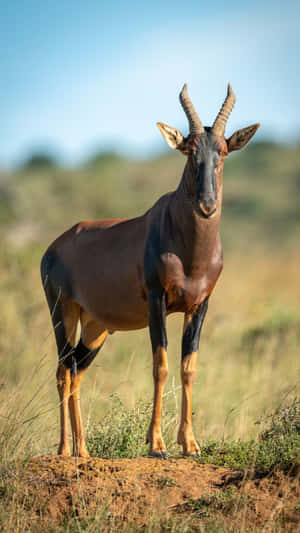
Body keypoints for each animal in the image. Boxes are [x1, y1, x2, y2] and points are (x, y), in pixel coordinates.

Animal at [41, 84, 258, 458]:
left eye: (223, 151)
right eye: (189, 151)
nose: (207, 205)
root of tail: (54, 247)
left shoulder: (200, 305)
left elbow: (188, 367)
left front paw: (190, 444)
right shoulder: (157, 300)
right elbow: (161, 365)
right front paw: (157, 445)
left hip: (95, 326)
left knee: (77, 371)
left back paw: (83, 450)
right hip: (63, 314)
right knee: (63, 370)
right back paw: (64, 449)